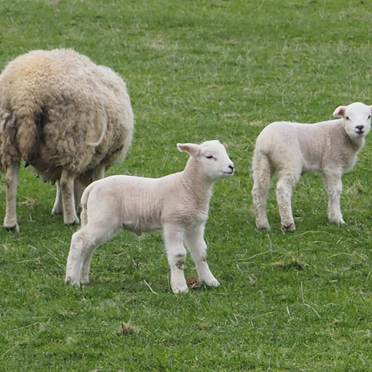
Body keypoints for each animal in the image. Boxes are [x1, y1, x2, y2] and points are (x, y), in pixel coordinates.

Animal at [0, 48, 134, 231]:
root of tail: (25, 96)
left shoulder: (57, 158)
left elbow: (58, 181)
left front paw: (58, 208)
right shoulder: (102, 156)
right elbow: (94, 180)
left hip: (8, 142)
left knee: (10, 181)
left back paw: (11, 224)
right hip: (71, 141)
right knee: (65, 182)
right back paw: (71, 219)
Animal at [65, 140, 234, 294]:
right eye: (209, 156)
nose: (231, 167)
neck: (188, 187)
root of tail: (92, 188)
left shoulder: (195, 226)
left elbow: (201, 254)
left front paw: (210, 281)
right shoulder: (173, 223)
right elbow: (178, 256)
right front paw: (180, 288)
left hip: (96, 219)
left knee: (89, 247)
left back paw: (83, 278)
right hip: (103, 219)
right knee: (79, 240)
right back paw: (71, 280)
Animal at [251, 101, 370, 230]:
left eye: (369, 116)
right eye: (347, 117)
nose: (360, 127)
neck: (343, 133)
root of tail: (267, 141)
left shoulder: (326, 169)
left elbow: (329, 190)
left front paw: (331, 216)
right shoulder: (332, 165)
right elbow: (335, 191)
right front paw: (338, 219)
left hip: (260, 162)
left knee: (259, 190)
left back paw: (262, 224)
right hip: (289, 161)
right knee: (283, 190)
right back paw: (288, 224)